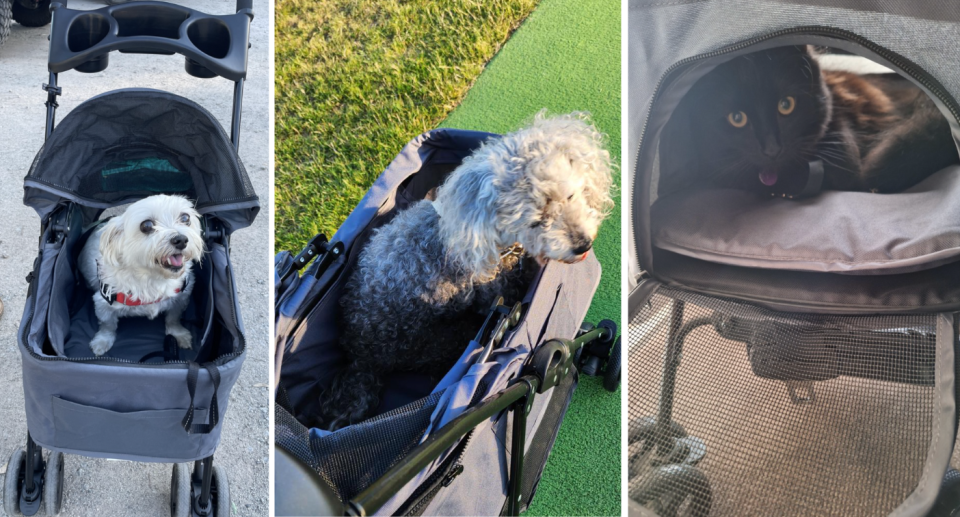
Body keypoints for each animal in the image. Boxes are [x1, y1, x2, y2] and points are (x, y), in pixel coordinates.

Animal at [78, 194, 204, 354]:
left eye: (185, 218)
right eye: (147, 225)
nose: (181, 239)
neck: (152, 277)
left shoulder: (180, 298)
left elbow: (173, 318)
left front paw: (178, 334)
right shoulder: (103, 303)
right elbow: (108, 325)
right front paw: (102, 341)